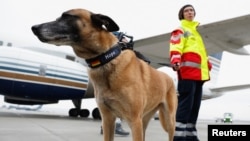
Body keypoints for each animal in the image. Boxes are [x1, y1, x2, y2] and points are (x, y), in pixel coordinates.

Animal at [31, 8, 178, 141]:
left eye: (67, 17)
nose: (34, 27)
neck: (105, 59)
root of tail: (169, 78)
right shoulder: (108, 120)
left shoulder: (134, 121)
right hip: (144, 120)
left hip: (169, 121)